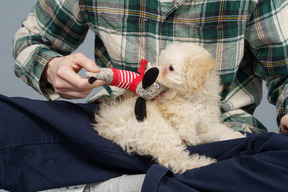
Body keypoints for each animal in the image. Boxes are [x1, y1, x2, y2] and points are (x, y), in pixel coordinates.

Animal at [93, 42, 245, 173]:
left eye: (171, 68)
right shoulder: (168, 105)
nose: (148, 72)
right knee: (172, 157)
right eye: (158, 63)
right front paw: (188, 134)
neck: (194, 98)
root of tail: (108, 128)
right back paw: (204, 163)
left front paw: (236, 136)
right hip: (155, 128)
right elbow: (184, 110)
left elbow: (217, 131)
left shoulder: (206, 124)